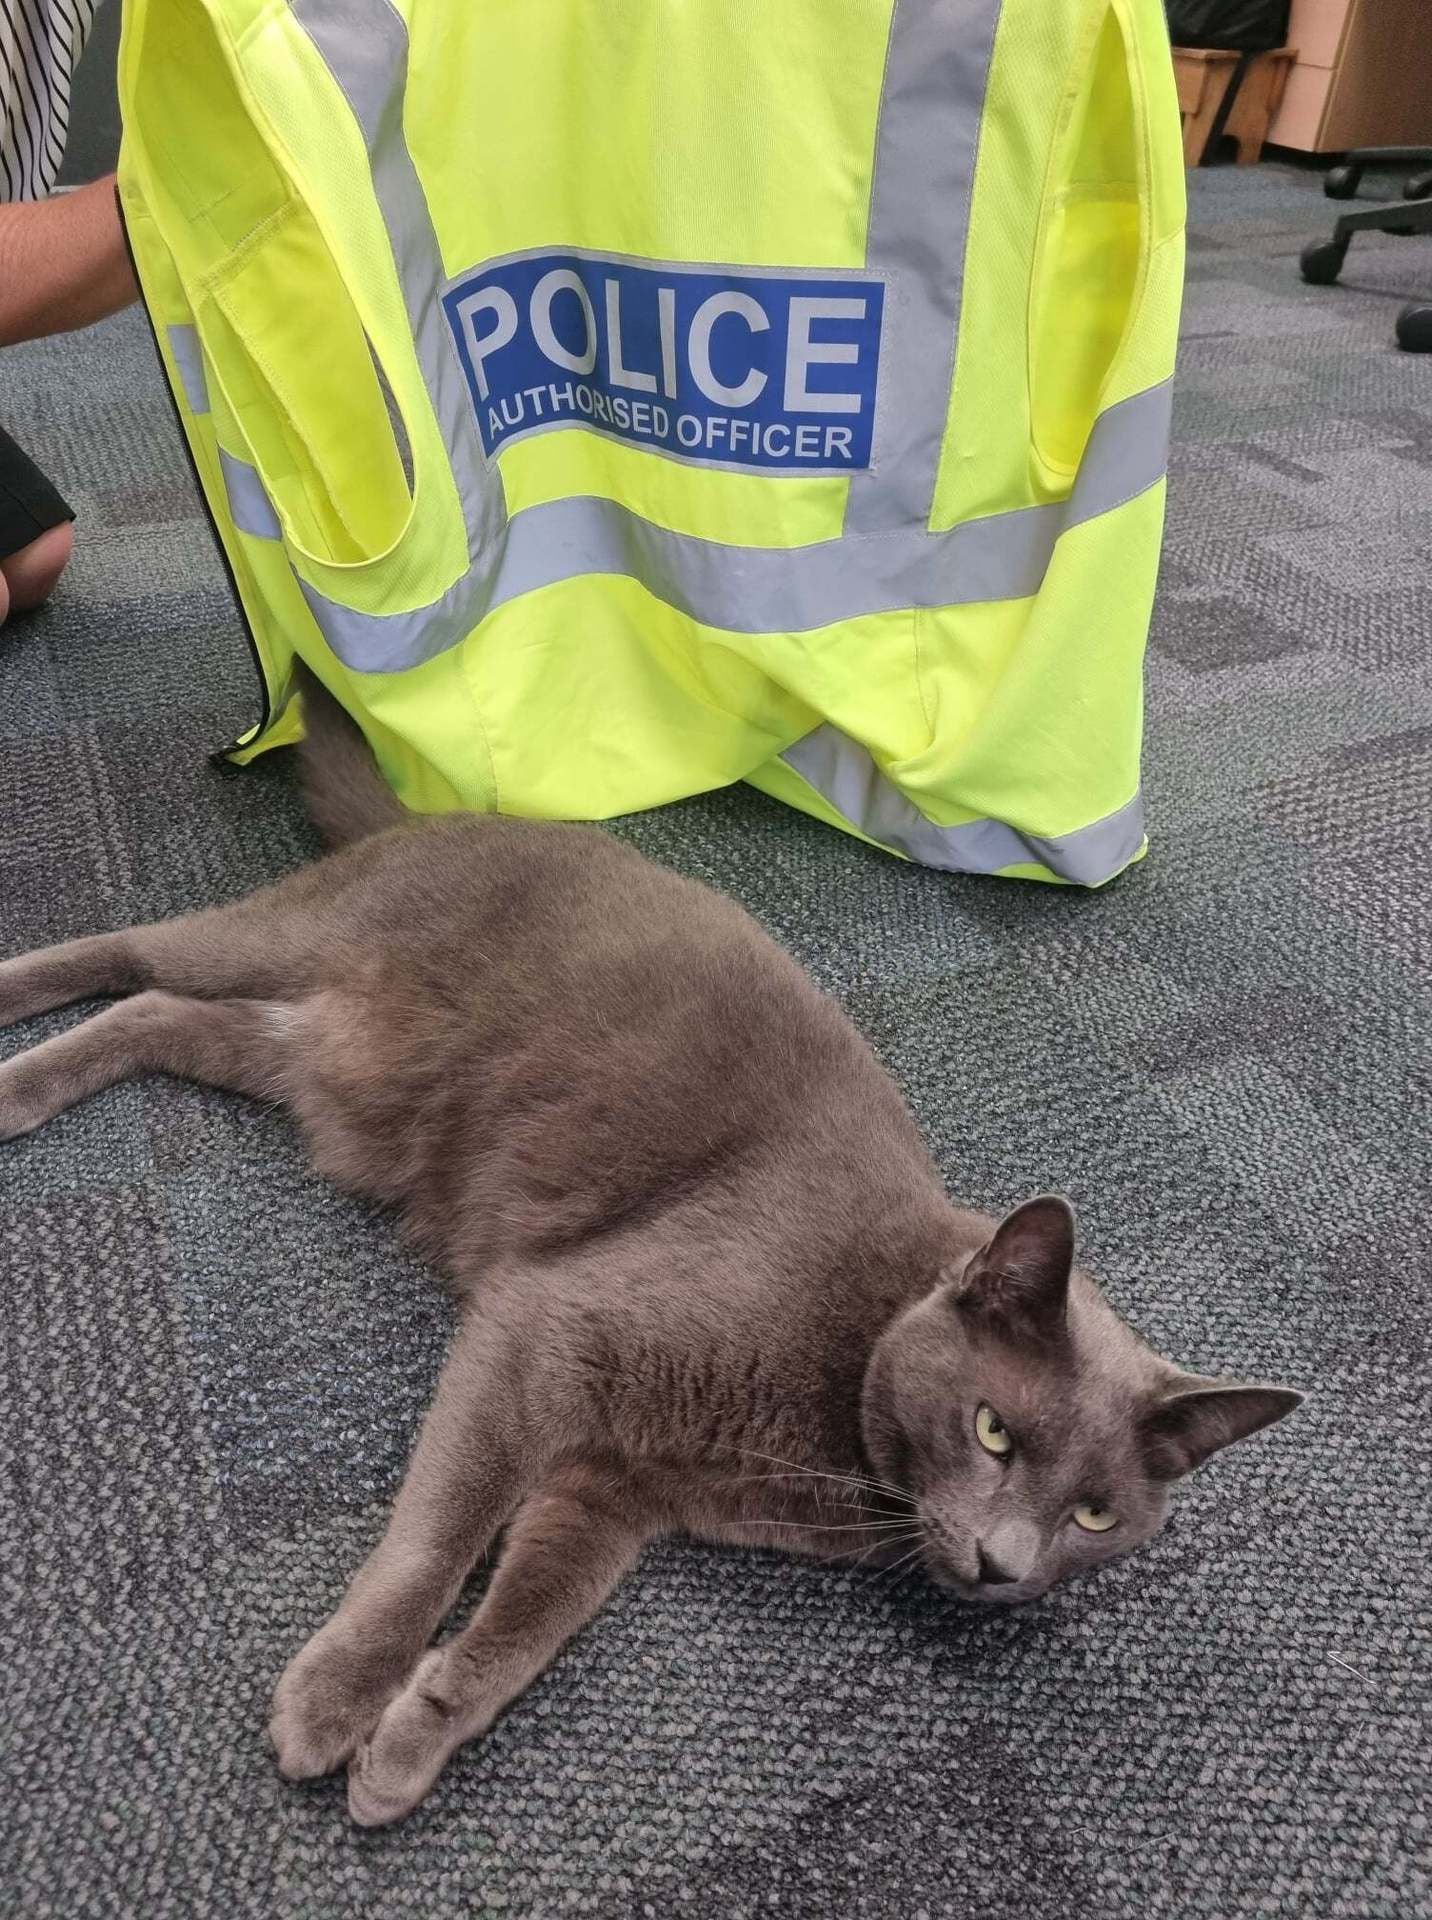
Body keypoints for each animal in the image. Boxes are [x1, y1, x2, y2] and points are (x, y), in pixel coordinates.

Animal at [0, 668, 1297, 1820]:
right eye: (991, 1431)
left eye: (1095, 1520)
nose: (1005, 1567)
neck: (825, 1432)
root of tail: (442, 818)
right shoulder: (543, 1331)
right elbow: (438, 1541)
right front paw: (337, 1699)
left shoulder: (616, 1490)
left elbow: (529, 1621)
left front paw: (410, 1743)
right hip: (293, 939)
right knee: (130, 951)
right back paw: (12, 1056)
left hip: (329, 1071)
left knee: (158, 1014)